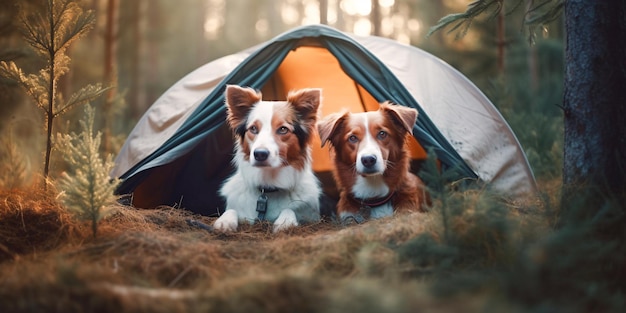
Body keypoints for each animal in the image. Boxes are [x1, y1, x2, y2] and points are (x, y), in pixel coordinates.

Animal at [214, 84, 322, 232]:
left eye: (283, 129)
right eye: (253, 128)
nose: (260, 154)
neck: (268, 187)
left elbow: (289, 210)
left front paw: (285, 222)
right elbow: (231, 210)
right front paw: (224, 222)